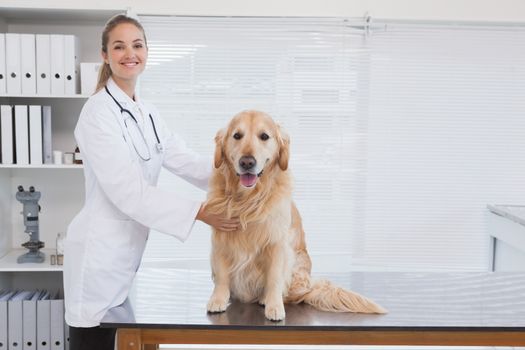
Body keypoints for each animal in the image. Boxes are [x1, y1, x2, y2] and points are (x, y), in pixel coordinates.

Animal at [205, 110, 384, 322]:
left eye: (264, 136)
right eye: (237, 135)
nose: (247, 162)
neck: (248, 199)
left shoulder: (276, 244)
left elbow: (274, 278)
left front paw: (274, 306)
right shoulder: (221, 239)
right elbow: (222, 276)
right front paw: (218, 300)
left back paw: (266, 298)